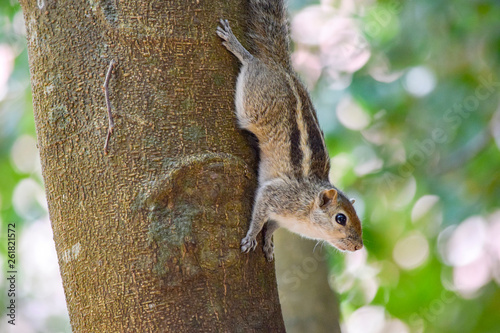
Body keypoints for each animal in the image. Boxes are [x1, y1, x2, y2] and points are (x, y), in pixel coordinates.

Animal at [217, 0, 362, 260]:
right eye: (341, 218)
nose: (358, 246)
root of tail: (282, 67)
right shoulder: (276, 195)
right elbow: (259, 215)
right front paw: (252, 236)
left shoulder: (282, 217)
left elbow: (272, 226)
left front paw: (268, 242)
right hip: (253, 101)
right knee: (253, 63)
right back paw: (238, 47)